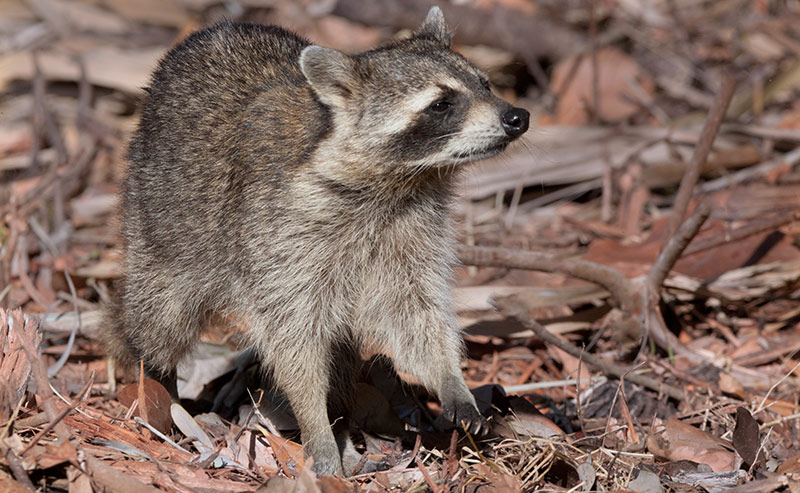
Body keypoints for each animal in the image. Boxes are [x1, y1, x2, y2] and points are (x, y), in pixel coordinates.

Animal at [102, 7, 529, 475]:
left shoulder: (412, 231)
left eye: (485, 84)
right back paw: (158, 381)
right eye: (442, 104)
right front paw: (315, 425)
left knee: (341, 350)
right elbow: (294, 338)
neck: (404, 181)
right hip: (156, 220)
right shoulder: (283, 235)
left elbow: (415, 313)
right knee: (161, 319)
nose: (518, 116)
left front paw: (449, 378)